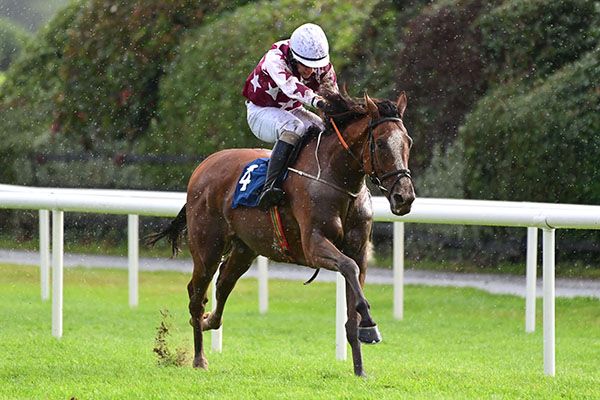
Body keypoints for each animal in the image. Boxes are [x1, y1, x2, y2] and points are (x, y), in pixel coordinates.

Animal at [148, 90, 414, 378]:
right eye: (381, 143)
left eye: (408, 142)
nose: (405, 197)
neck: (336, 178)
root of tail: (202, 167)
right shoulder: (314, 246)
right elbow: (348, 268)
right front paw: (369, 326)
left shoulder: (359, 250)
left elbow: (353, 290)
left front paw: (360, 367)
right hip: (207, 248)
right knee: (197, 294)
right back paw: (199, 358)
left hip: (244, 248)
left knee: (223, 284)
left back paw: (209, 322)